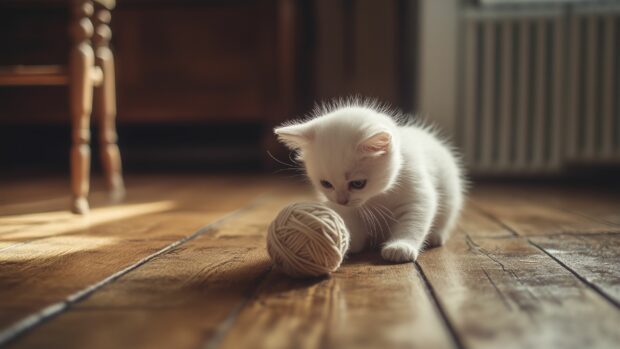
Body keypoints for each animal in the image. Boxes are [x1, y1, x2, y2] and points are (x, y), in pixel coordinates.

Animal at [274, 98, 462, 260]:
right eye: (326, 184)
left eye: (358, 184)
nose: (342, 200)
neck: (377, 196)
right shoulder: (344, 208)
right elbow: (349, 220)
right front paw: (347, 242)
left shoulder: (417, 191)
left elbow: (414, 220)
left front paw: (401, 246)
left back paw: (436, 235)